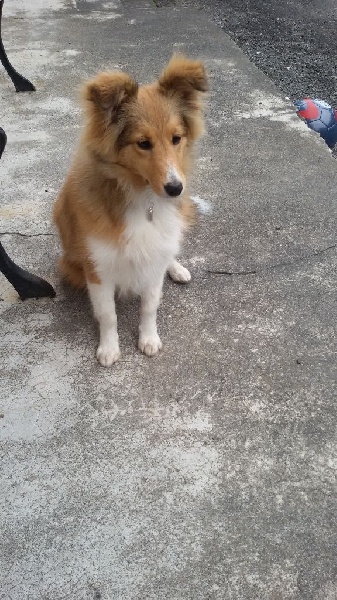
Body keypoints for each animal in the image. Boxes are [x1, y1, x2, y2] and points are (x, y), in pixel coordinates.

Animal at [52, 55, 206, 366]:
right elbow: (107, 314)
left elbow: (150, 305)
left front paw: (149, 339)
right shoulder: (98, 267)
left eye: (176, 138)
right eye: (143, 143)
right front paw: (109, 348)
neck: (142, 197)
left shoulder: (153, 260)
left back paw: (177, 268)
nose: (176, 189)